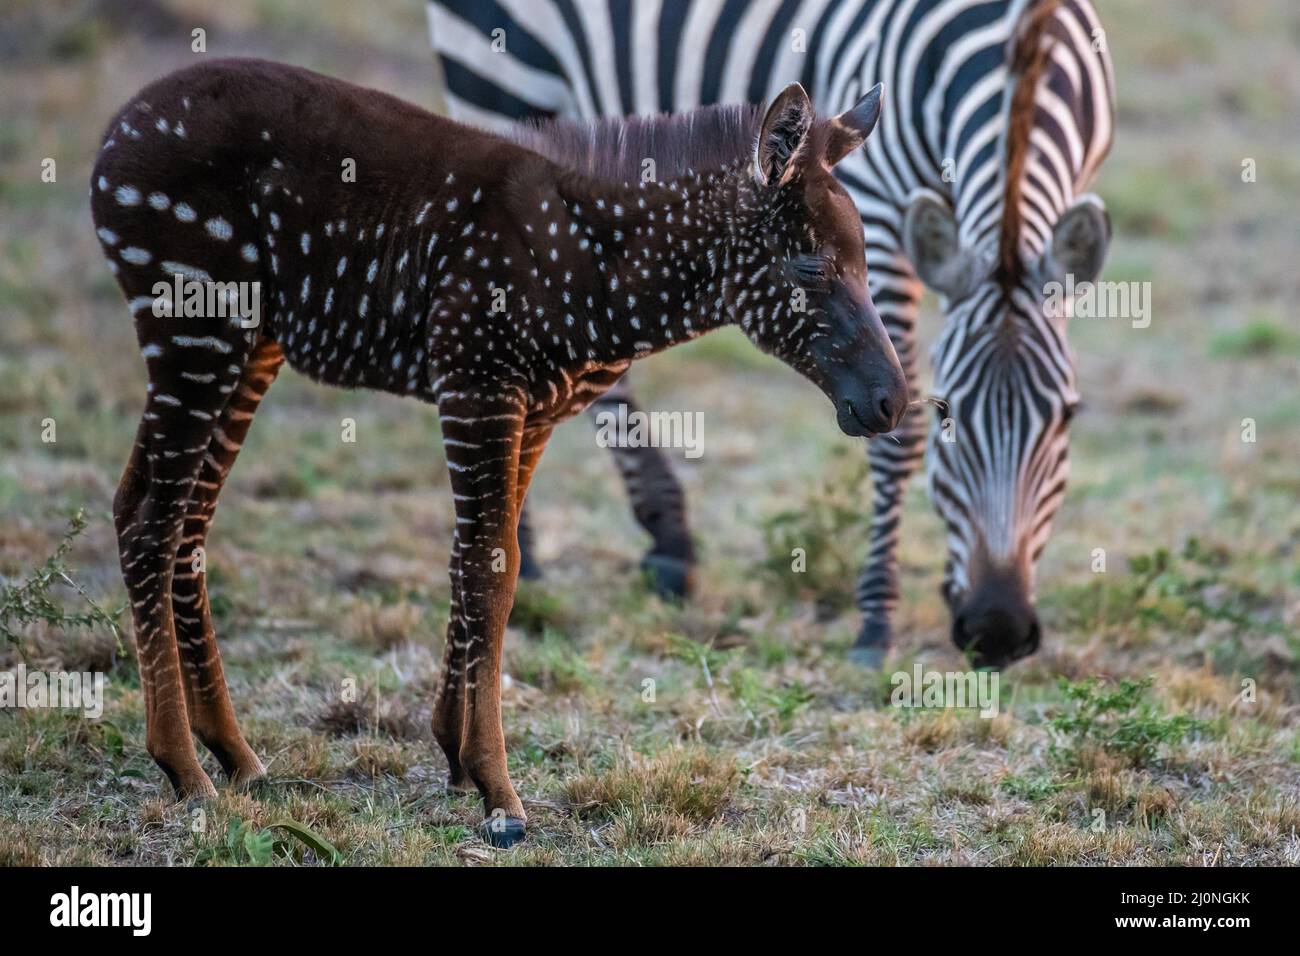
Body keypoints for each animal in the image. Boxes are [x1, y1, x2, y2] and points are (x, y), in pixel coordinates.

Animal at [91, 57, 904, 842]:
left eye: (866, 259)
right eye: (809, 266)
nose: (893, 401)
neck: (603, 275)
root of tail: (117, 131)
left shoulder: (532, 409)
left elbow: (479, 561)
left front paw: (453, 752)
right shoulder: (478, 384)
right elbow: (493, 568)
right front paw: (498, 791)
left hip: (248, 347)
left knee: (176, 521)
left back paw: (233, 752)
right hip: (194, 329)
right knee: (150, 519)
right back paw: (183, 767)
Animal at [428, 0, 1118, 665]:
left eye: (1068, 417)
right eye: (953, 425)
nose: (998, 631)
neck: (1022, 42)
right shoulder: (877, 201)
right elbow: (897, 437)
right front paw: (875, 622)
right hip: (504, 80)